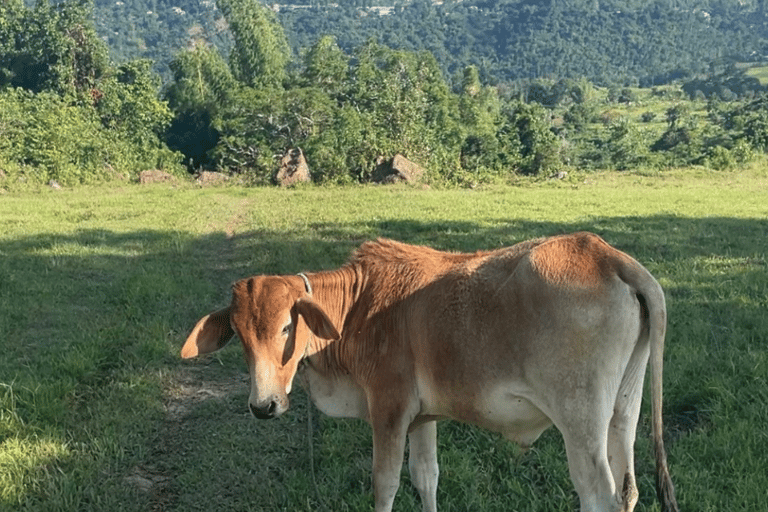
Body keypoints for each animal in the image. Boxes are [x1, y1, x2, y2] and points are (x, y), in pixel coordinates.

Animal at [180, 233, 680, 512]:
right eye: (239, 335)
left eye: (287, 326)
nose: (263, 405)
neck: (357, 308)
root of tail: (609, 255)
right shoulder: (424, 418)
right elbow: (427, 478)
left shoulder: (390, 409)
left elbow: (384, 486)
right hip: (623, 409)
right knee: (628, 490)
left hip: (580, 420)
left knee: (599, 495)